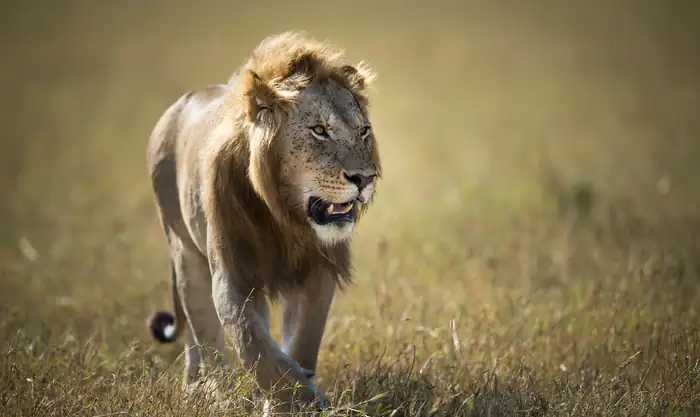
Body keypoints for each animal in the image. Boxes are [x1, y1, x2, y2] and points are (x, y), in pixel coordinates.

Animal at [144, 31, 381, 413]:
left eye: (363, 131)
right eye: (319, 130)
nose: (365, 178)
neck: (286, 217)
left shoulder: (316, 272)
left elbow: (301, 343)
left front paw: (294, 399)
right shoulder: (234, 275)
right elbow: (253, 344)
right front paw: (297, 400)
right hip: (184, 249)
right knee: (204, 333)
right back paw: (211, 394)